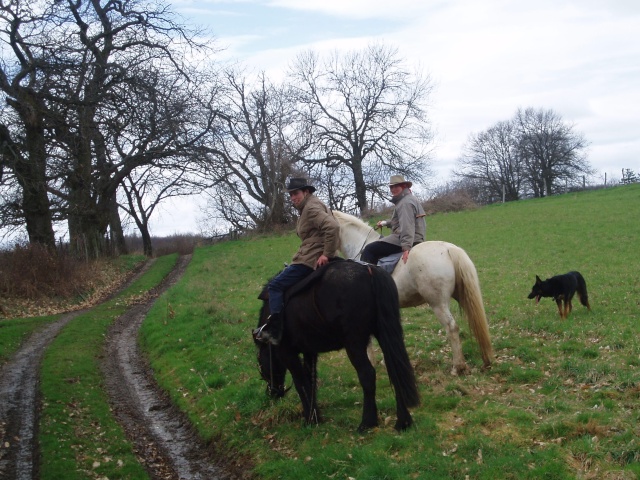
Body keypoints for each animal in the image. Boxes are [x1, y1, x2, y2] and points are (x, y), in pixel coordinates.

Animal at [255, 260, 420, 434]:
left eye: (260, 364)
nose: (272, 393)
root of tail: (369, 269)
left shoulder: (287, 352)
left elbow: (301, 383)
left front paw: (310, 419)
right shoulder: (310, 351)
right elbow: (310, 381)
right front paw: (314, 416)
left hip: (354, 343)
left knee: (367, 374)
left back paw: (367, 422)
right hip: (383, 334)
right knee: (395, 371)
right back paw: (403, 422)